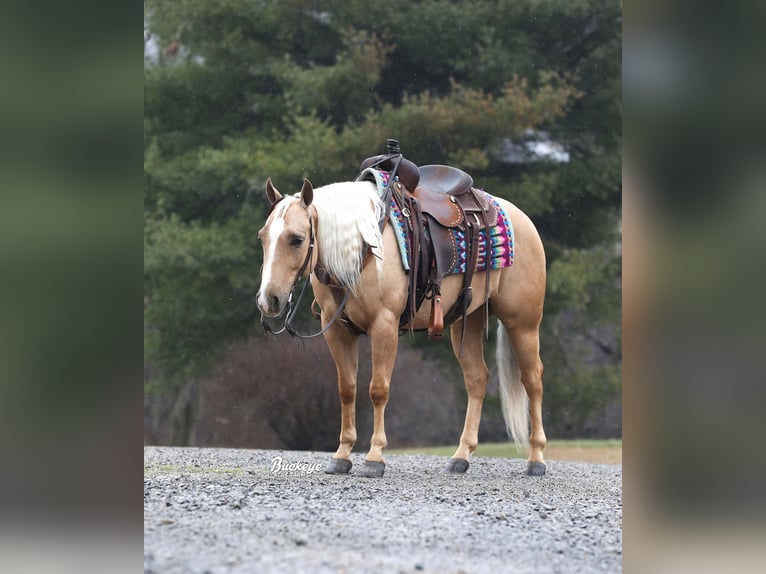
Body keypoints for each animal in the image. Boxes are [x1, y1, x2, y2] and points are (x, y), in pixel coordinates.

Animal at [260, 178, 548, 480]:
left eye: (297, 239)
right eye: (262, 237)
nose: (269, 299)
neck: (363, 249)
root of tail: (521, 217)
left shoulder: (383, 327)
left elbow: (378, 390)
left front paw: (375, 457)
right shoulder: (336, 331)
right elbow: (347, 390)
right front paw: (342, 455)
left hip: (523, 323)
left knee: (532, 380)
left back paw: (536, 459)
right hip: (467, 321)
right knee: (477, 379)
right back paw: (461, 456)